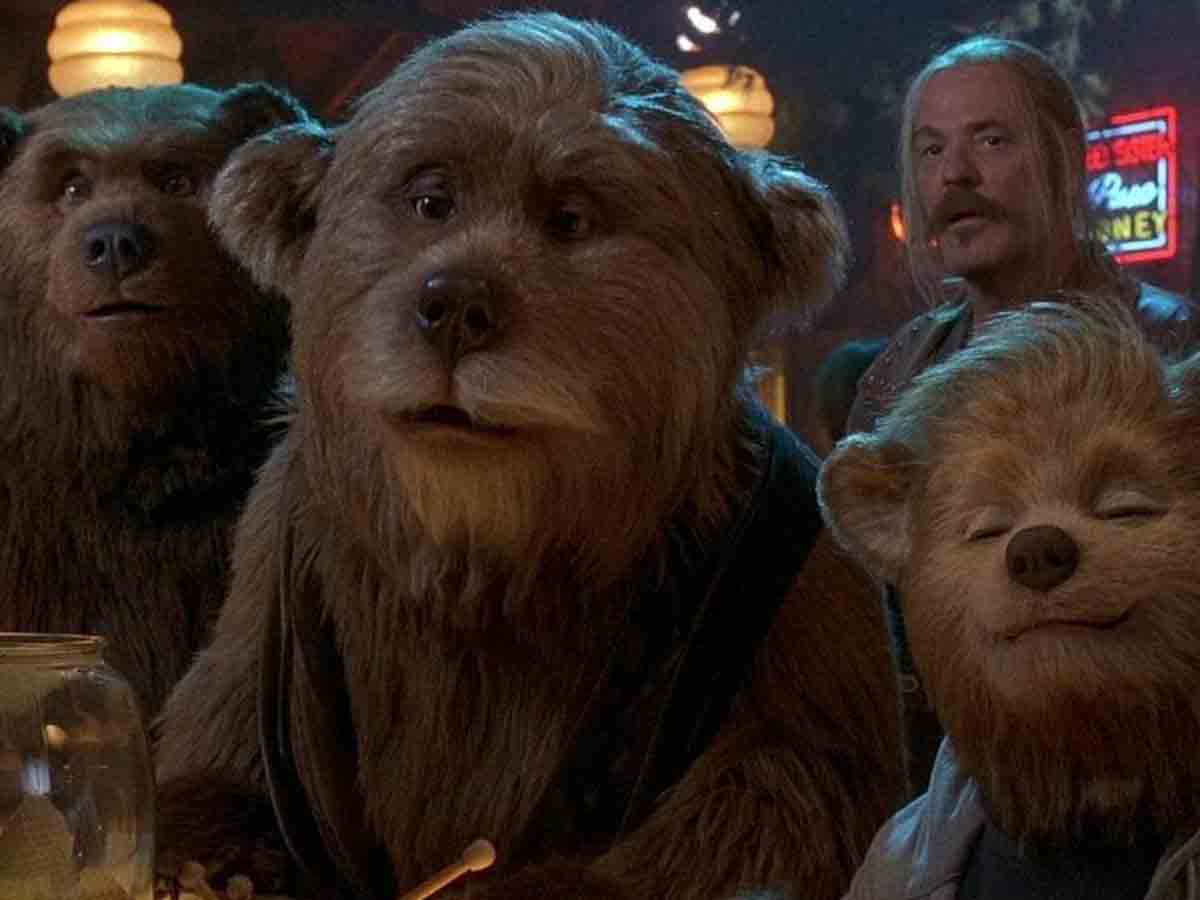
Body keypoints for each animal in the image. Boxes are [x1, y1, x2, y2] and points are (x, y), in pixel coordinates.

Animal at [153, 13, 903, 900]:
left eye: (572, 218)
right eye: (430, 198)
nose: (454, 305)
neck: (486, 573)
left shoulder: (802, 603)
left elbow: (777, 810)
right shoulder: (263, 590)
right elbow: (208, 759)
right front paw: (202, 860)